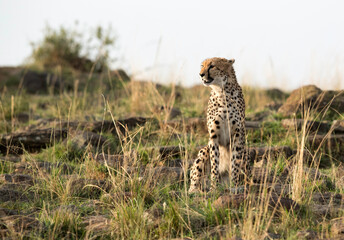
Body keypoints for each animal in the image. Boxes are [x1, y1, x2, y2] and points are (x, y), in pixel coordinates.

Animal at [188, 57, 250, 192]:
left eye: (212, 66)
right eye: (202, 66)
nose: (201, 74)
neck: (222, 92)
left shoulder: (237, 135)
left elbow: (235, 163)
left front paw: (234, 186)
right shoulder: (213, 136)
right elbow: (215, 163)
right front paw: (213, 188)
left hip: (245, 151)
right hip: (203, 151)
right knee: (195, 177)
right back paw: (194, 190)